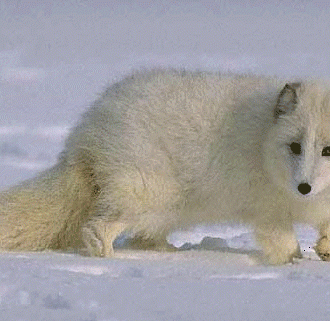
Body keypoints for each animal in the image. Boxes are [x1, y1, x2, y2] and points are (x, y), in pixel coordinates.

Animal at [0, 69, 330, 264]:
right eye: (295, 146)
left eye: (327, 150)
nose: (304, 187)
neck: (263, 141)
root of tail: (90, 128)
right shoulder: (266, 209)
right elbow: (283, 242)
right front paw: (294, 264)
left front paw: (324, 251)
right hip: (148, 193)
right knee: (98, 227)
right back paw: (109, 258)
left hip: (170, 206)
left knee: (142, 236)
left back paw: (167, 253)